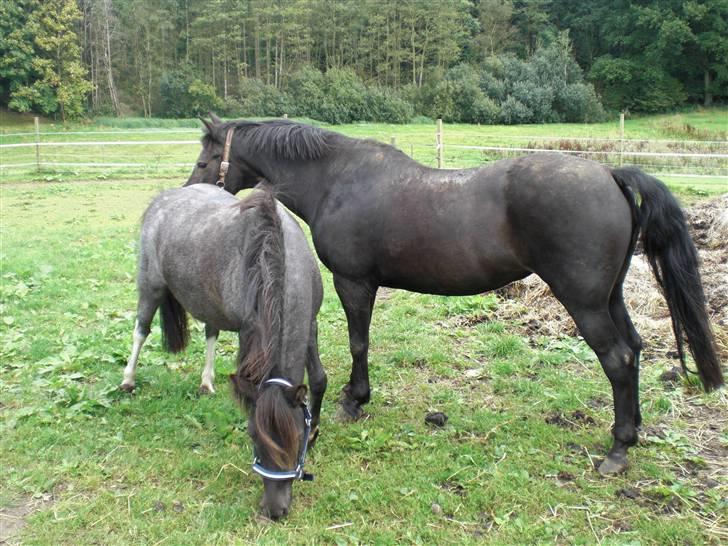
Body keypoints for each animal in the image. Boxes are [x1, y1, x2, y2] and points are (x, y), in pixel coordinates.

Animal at [121, 185, 326, 516]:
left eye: (298, 437)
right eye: (253, 435)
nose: (274, 510)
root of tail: (163, 198)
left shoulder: (309, 322)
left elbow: (319, 378)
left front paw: (317, 428)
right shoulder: (249, 335)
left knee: (210, 334)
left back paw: (206, 382)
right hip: (150, 286)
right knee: (140, 330)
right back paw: (127, 380)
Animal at [186, 116, 724, 476]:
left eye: (206, 158)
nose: (191, 191)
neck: (337, 180)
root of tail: (610, 175)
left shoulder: (353, 282)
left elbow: (359, 343)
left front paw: (353, 401)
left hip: (585, 303)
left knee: (616, 359)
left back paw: (617, 450)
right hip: (610, 297)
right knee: (633, 350)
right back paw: (632, 431)